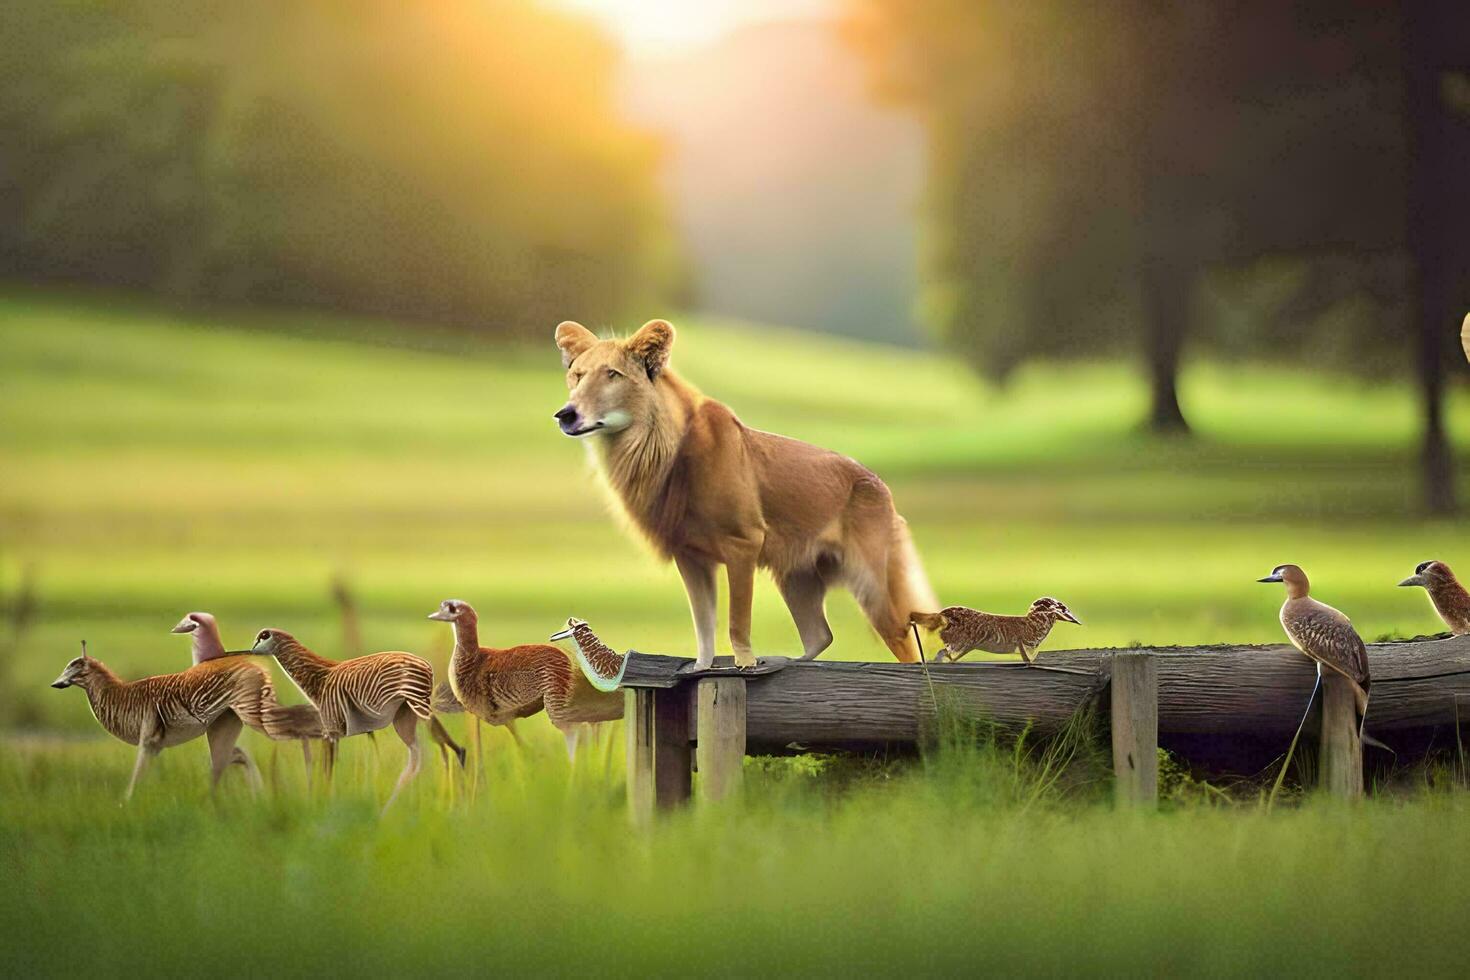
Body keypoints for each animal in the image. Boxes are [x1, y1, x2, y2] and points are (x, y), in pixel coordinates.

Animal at [49, 640, 273, 799]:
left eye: (73, 667)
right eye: (67, 667)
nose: (55, 684)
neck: (118, 696)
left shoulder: (148, 740)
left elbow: (137, 774)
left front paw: (126, 803)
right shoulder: (155, 745)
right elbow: (142, 773)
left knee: (239, 754)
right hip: (227, 724)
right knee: (238, 754)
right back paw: (255, 795)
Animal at [246, 628, 464, 811]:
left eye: (262, 637)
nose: (248, 651)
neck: (318, 679)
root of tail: (426, 665)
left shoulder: (331, 730)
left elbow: (327, 769)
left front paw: (324, 805)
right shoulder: (336, 732)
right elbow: (330, 767)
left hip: (418, 705)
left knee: (441, 748)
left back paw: (446, 802)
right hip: (407, 714)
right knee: (426, 752)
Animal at [552, 320, 929, 667]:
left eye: (612, 374)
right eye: (578, 376)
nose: (565, 414)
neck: (647, 451)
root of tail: (880, 486)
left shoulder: (744, 543)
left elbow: (737, 620)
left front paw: (745, 665)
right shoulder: (689, 555)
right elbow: (703, 624)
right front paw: (700, 668)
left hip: (871, 586)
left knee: (904, 643)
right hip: (796, 578)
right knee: (820, 635)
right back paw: (783, 662)